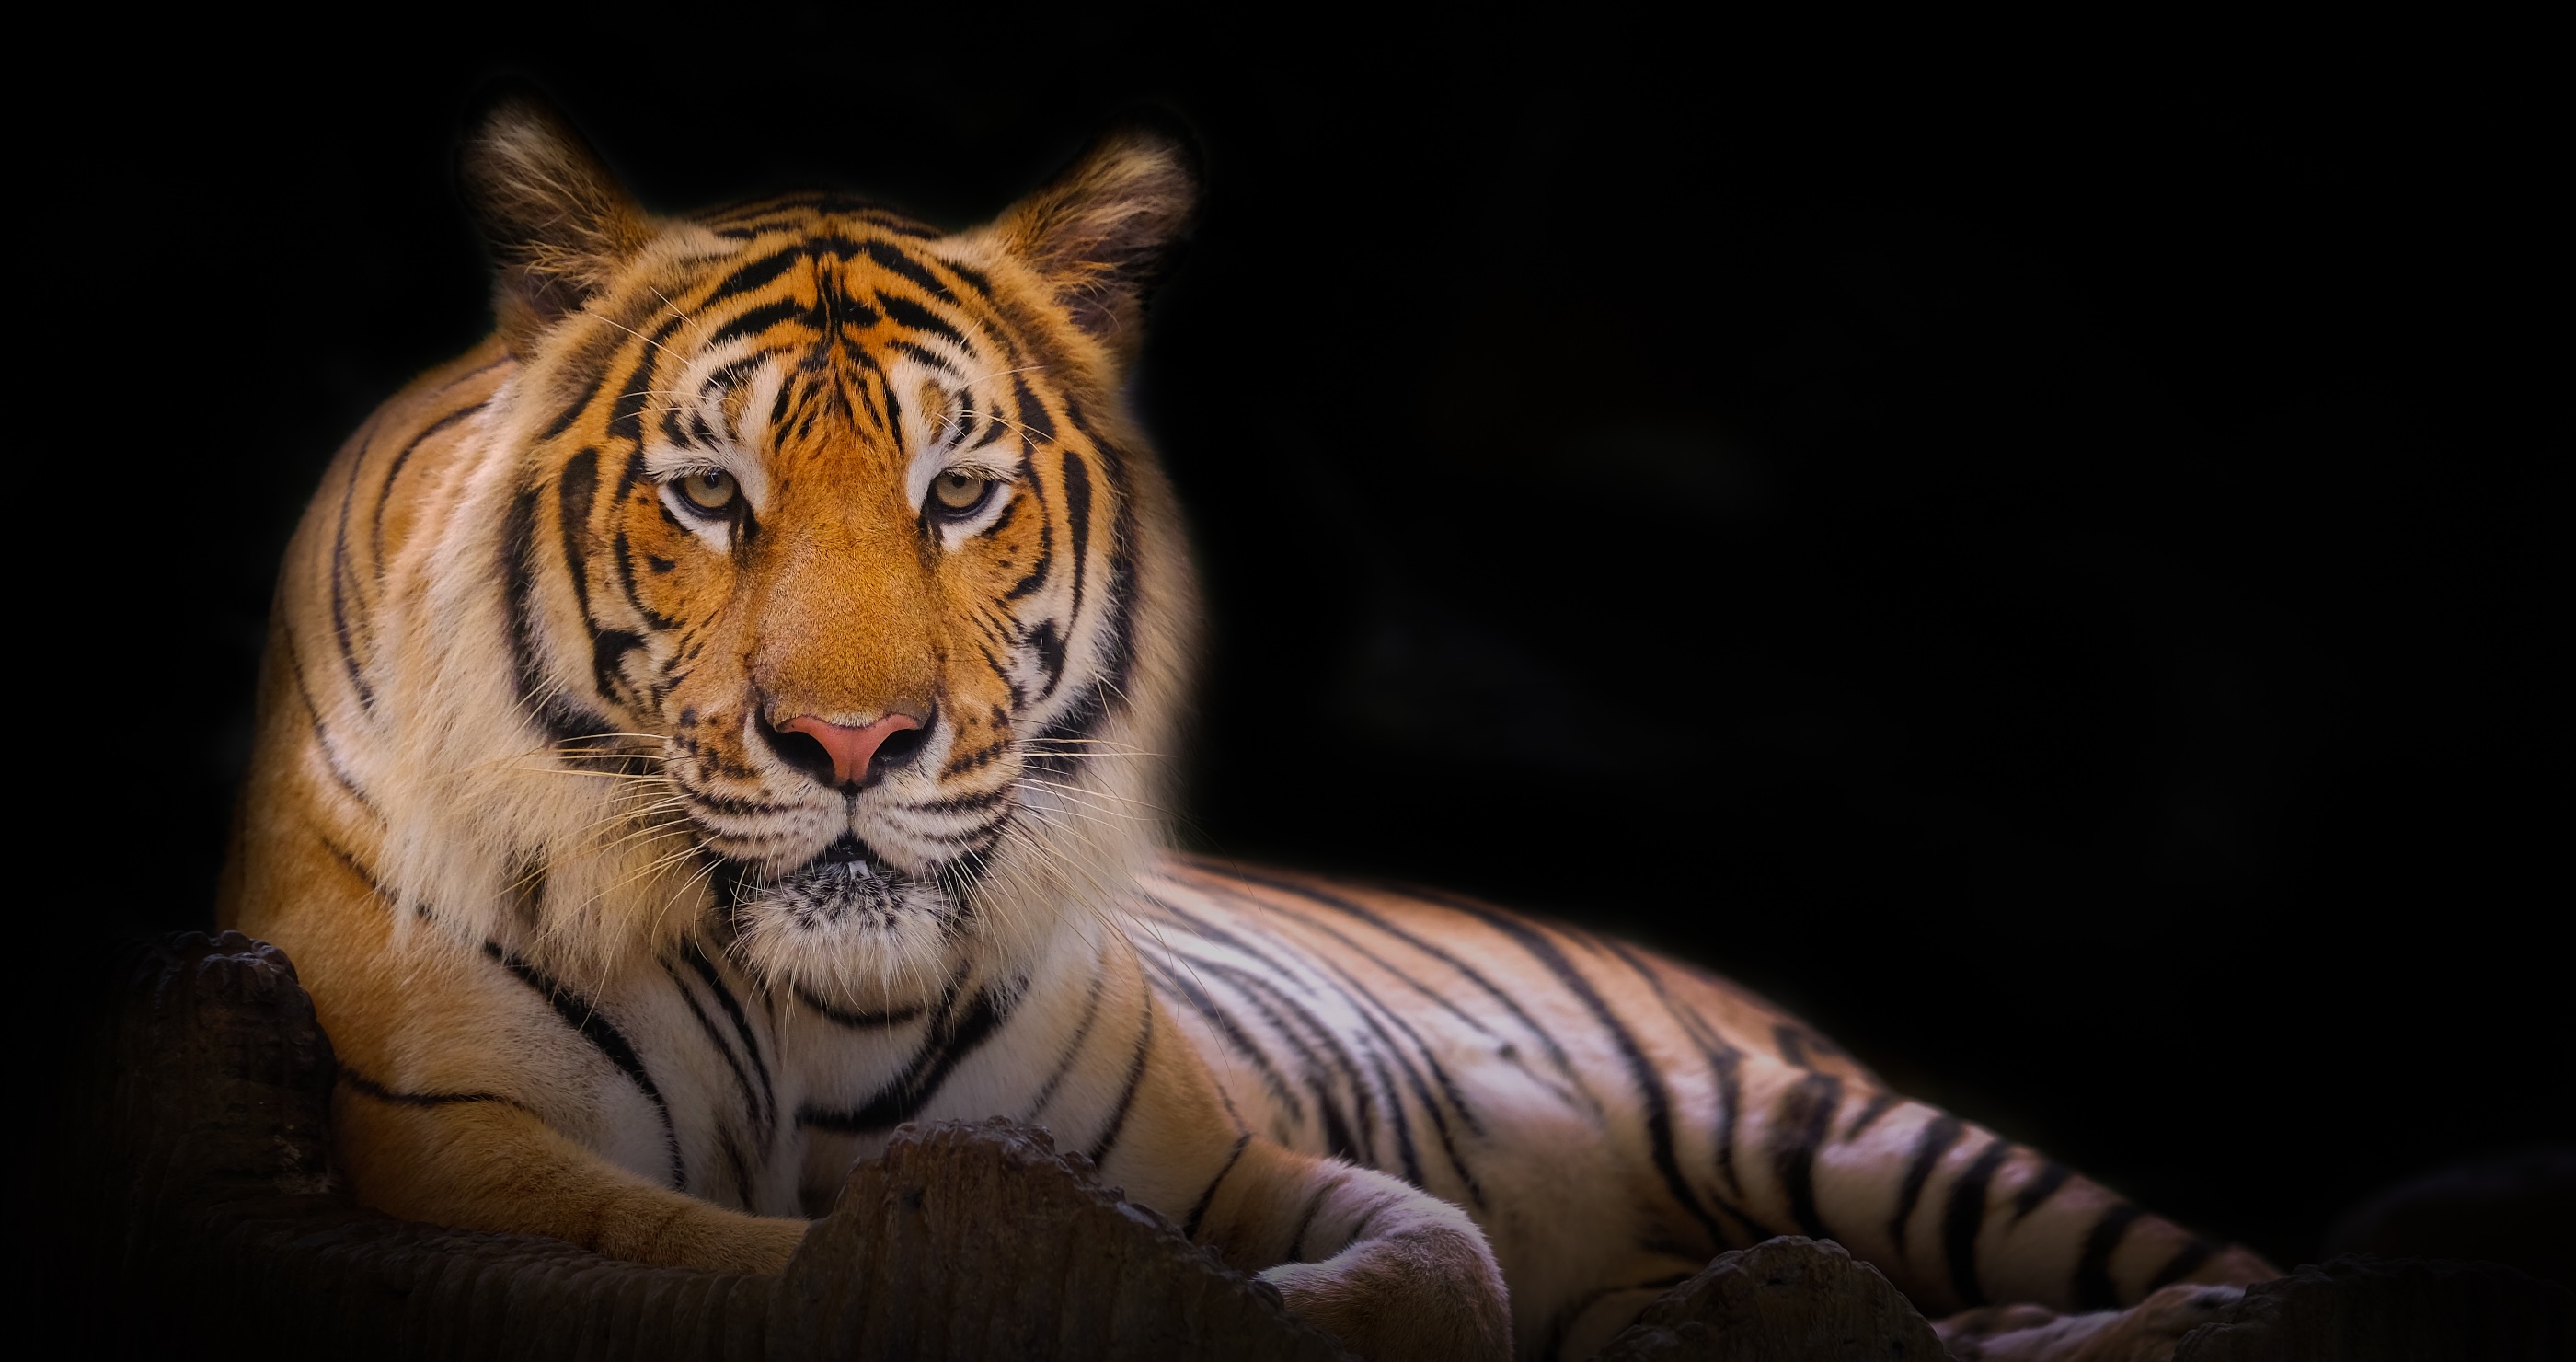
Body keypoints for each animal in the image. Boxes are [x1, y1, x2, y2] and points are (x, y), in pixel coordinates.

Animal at [218, 91, 2276, 1361]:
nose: (854, 749)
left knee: (2217, 1268)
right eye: (710, 494)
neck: (802, 1012)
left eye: (958, 493)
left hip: (1839, 1130)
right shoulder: (470, 1153)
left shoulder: (1206, 1155)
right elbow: (767, 1259)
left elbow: (1423, 1264)